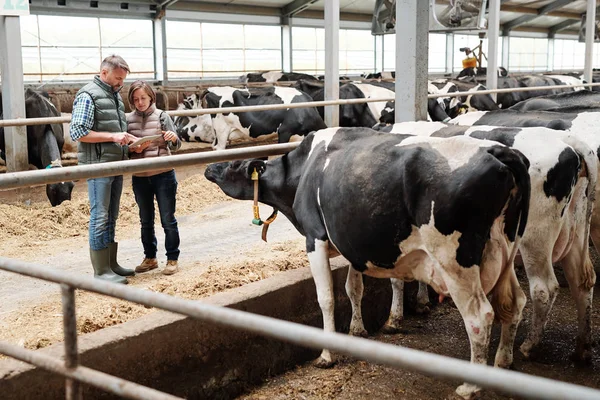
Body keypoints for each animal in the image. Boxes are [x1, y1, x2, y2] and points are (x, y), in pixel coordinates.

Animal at [205, 127, 528, 400]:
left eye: (233, 167)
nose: (209, 168)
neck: (302, 170)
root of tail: (497, 151)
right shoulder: (352, 244)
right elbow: (353, 289)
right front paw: (357, 331)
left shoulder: (315, 237)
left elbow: (326, 298)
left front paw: (327, 354)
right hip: (506, 250)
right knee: (515, 302)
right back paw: (503, 362)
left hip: (455, 261)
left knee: (480, 317)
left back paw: (470, 386)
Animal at [376, 120, 596, 360]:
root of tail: (567, 141)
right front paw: (422, 302)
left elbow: (396, 279)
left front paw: (393, 319)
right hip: (575, 230)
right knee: (581, 281)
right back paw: (582, 348)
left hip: (536, 238)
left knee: (544, 289)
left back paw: (529, 345)